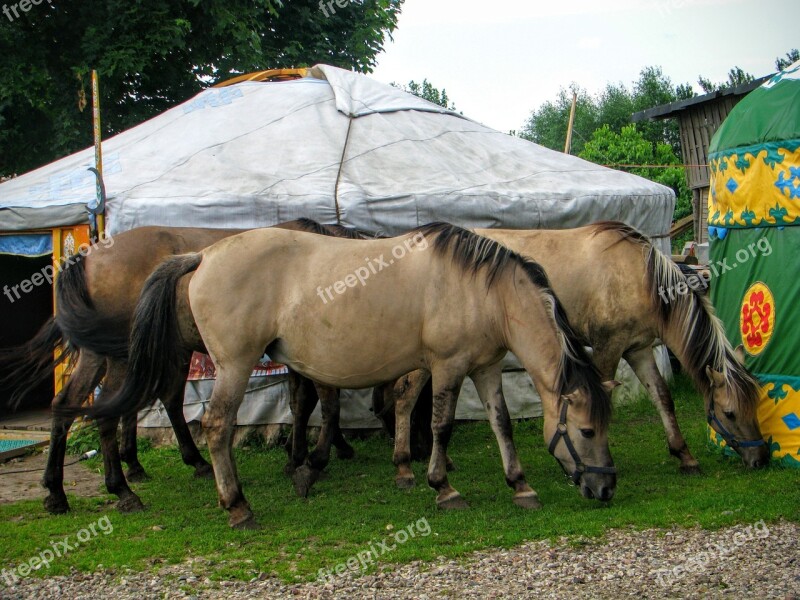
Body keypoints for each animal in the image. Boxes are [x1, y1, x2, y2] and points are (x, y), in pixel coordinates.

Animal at [0, 220, 356, 516]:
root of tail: (87, 259)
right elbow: (314, 402)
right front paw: (312, 455)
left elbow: (300, 403)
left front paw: (305, 453)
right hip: (124, 357)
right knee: (112, 411)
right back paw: (123, 489)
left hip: (99, 355)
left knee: (68, 405)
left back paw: (58, 491)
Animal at [72, 223, 616, 528]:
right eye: (587, 431)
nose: (606, 490)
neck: (482, 290)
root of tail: (204, 255)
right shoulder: (447, 367)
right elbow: (440, 426)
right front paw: (443, 487)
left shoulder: (483, 368)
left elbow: (502, 425)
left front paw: (520, 486)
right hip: (233, 366)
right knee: (216, 426)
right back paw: (237, 505)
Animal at [376, 220, 768, 488]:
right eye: (730, 413)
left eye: (756, 405)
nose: (760, 458)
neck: (640, 276)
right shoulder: (608, 346)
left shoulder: (639, 349)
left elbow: (663, 398)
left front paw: (684, 454)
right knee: (405, 396)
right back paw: (405, 466)